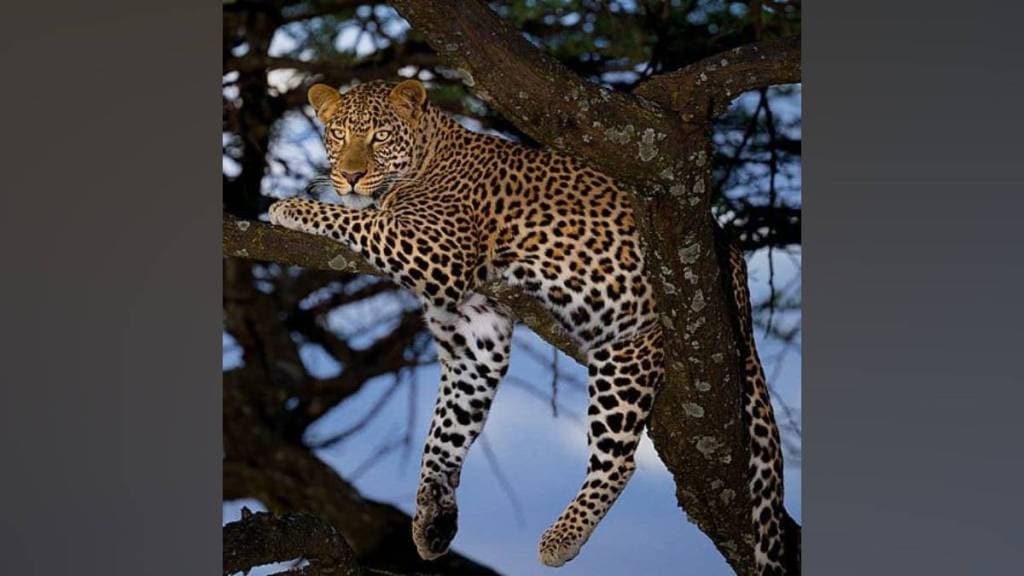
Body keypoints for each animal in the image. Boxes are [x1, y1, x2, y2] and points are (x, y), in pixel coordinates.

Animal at [267, 79, 788, 573]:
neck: (426, 153)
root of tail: (733, 262)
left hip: (628, 351)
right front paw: (432, 516)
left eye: (378, 137)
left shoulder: (434, 247)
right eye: (338, 135)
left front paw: (290, 207)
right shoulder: (475, 335)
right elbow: (445, 432)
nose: (351, 176)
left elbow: (356, 220)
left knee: (619, 459)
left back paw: (563, 537)